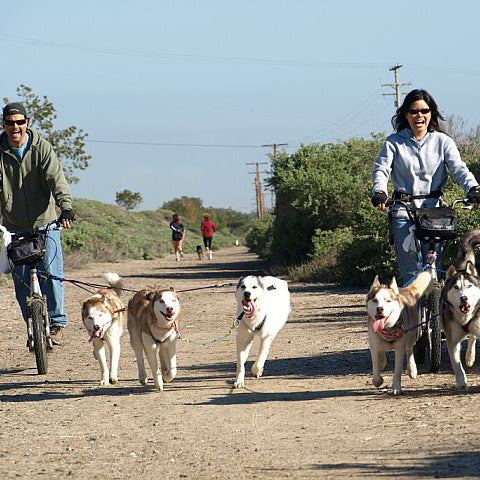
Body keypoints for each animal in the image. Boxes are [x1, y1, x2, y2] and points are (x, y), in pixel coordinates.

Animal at [440, 230, 480, 390]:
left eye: (469, 286)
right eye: (456, 287)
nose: (464, 298)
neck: (464, 318)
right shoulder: (452, 340)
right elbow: (456, 364)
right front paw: (461, 381)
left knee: (473, 338)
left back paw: (470, 356)